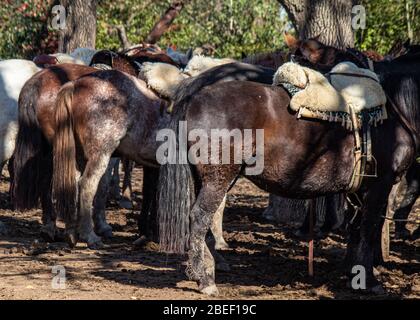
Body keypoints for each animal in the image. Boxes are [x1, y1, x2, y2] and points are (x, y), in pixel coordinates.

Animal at [155, 36, 420, 294]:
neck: (393, 107)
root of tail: (193, 93)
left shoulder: (361, 190)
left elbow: (356, 230)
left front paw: (353, 273)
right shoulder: (380, 185)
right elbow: (369, 228)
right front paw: (368, 280)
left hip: (205, 178)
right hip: (218, 178)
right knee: (200, 217)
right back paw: (206, 279)